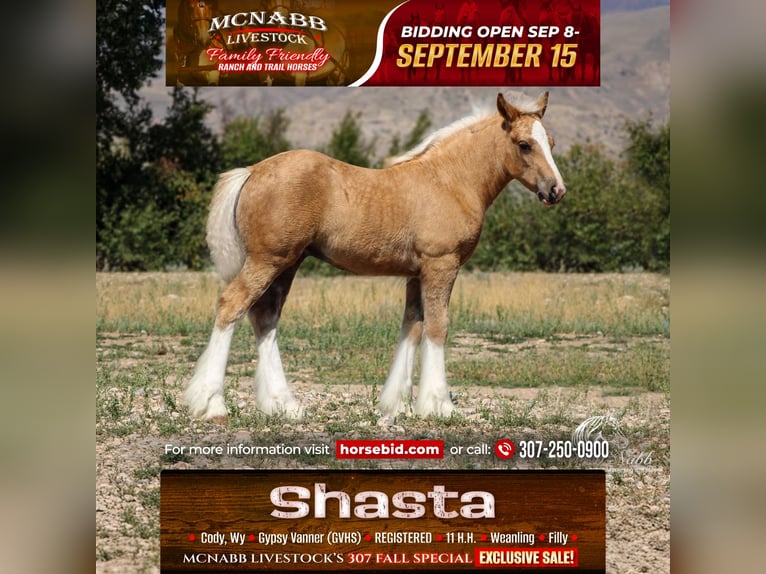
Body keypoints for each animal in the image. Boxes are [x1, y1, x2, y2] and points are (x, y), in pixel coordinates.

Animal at [184, 92, 567, 421]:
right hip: (268, 260)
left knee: (265, 317)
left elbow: (412, 327)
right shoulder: (441, 265)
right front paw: (439, 405)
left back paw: (283, 405)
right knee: (232, 305)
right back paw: (212, 404)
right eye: (524, 144)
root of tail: (252, 171)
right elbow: (438, 327)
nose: (556, 190)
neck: (449, 181)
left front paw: (398, 404)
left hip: (287, 264)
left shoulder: (416, 274)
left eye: (550, 142)